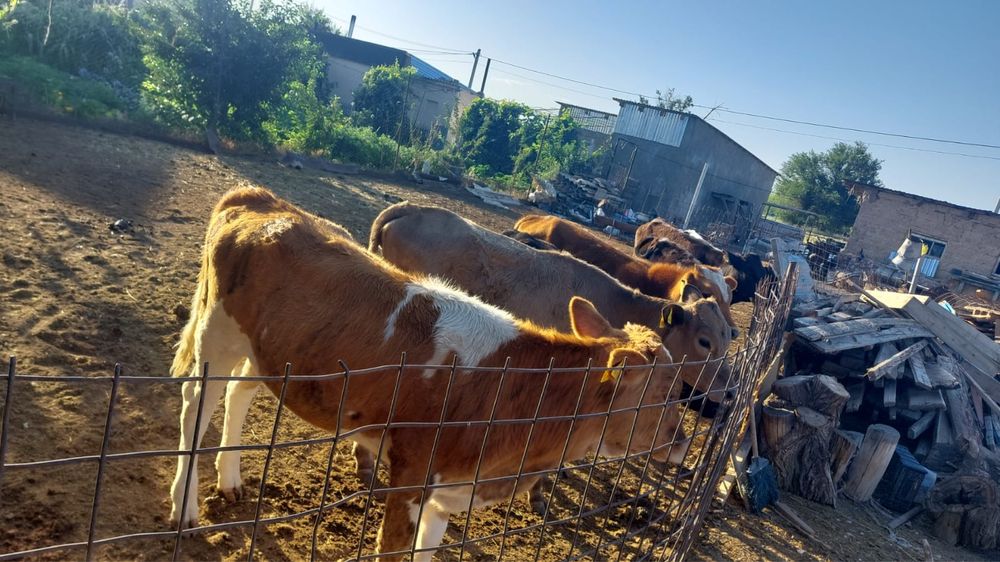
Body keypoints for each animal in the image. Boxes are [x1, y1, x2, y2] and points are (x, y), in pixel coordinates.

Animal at [169, 187, 689, 561]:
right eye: (666, 393)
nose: (683, 443)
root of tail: (262, 198)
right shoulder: (411, 478)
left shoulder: (448, 491)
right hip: (217, 331)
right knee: (196, 405)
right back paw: (184, 507)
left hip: (270, 352)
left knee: (238, 395)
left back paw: (230, 482)